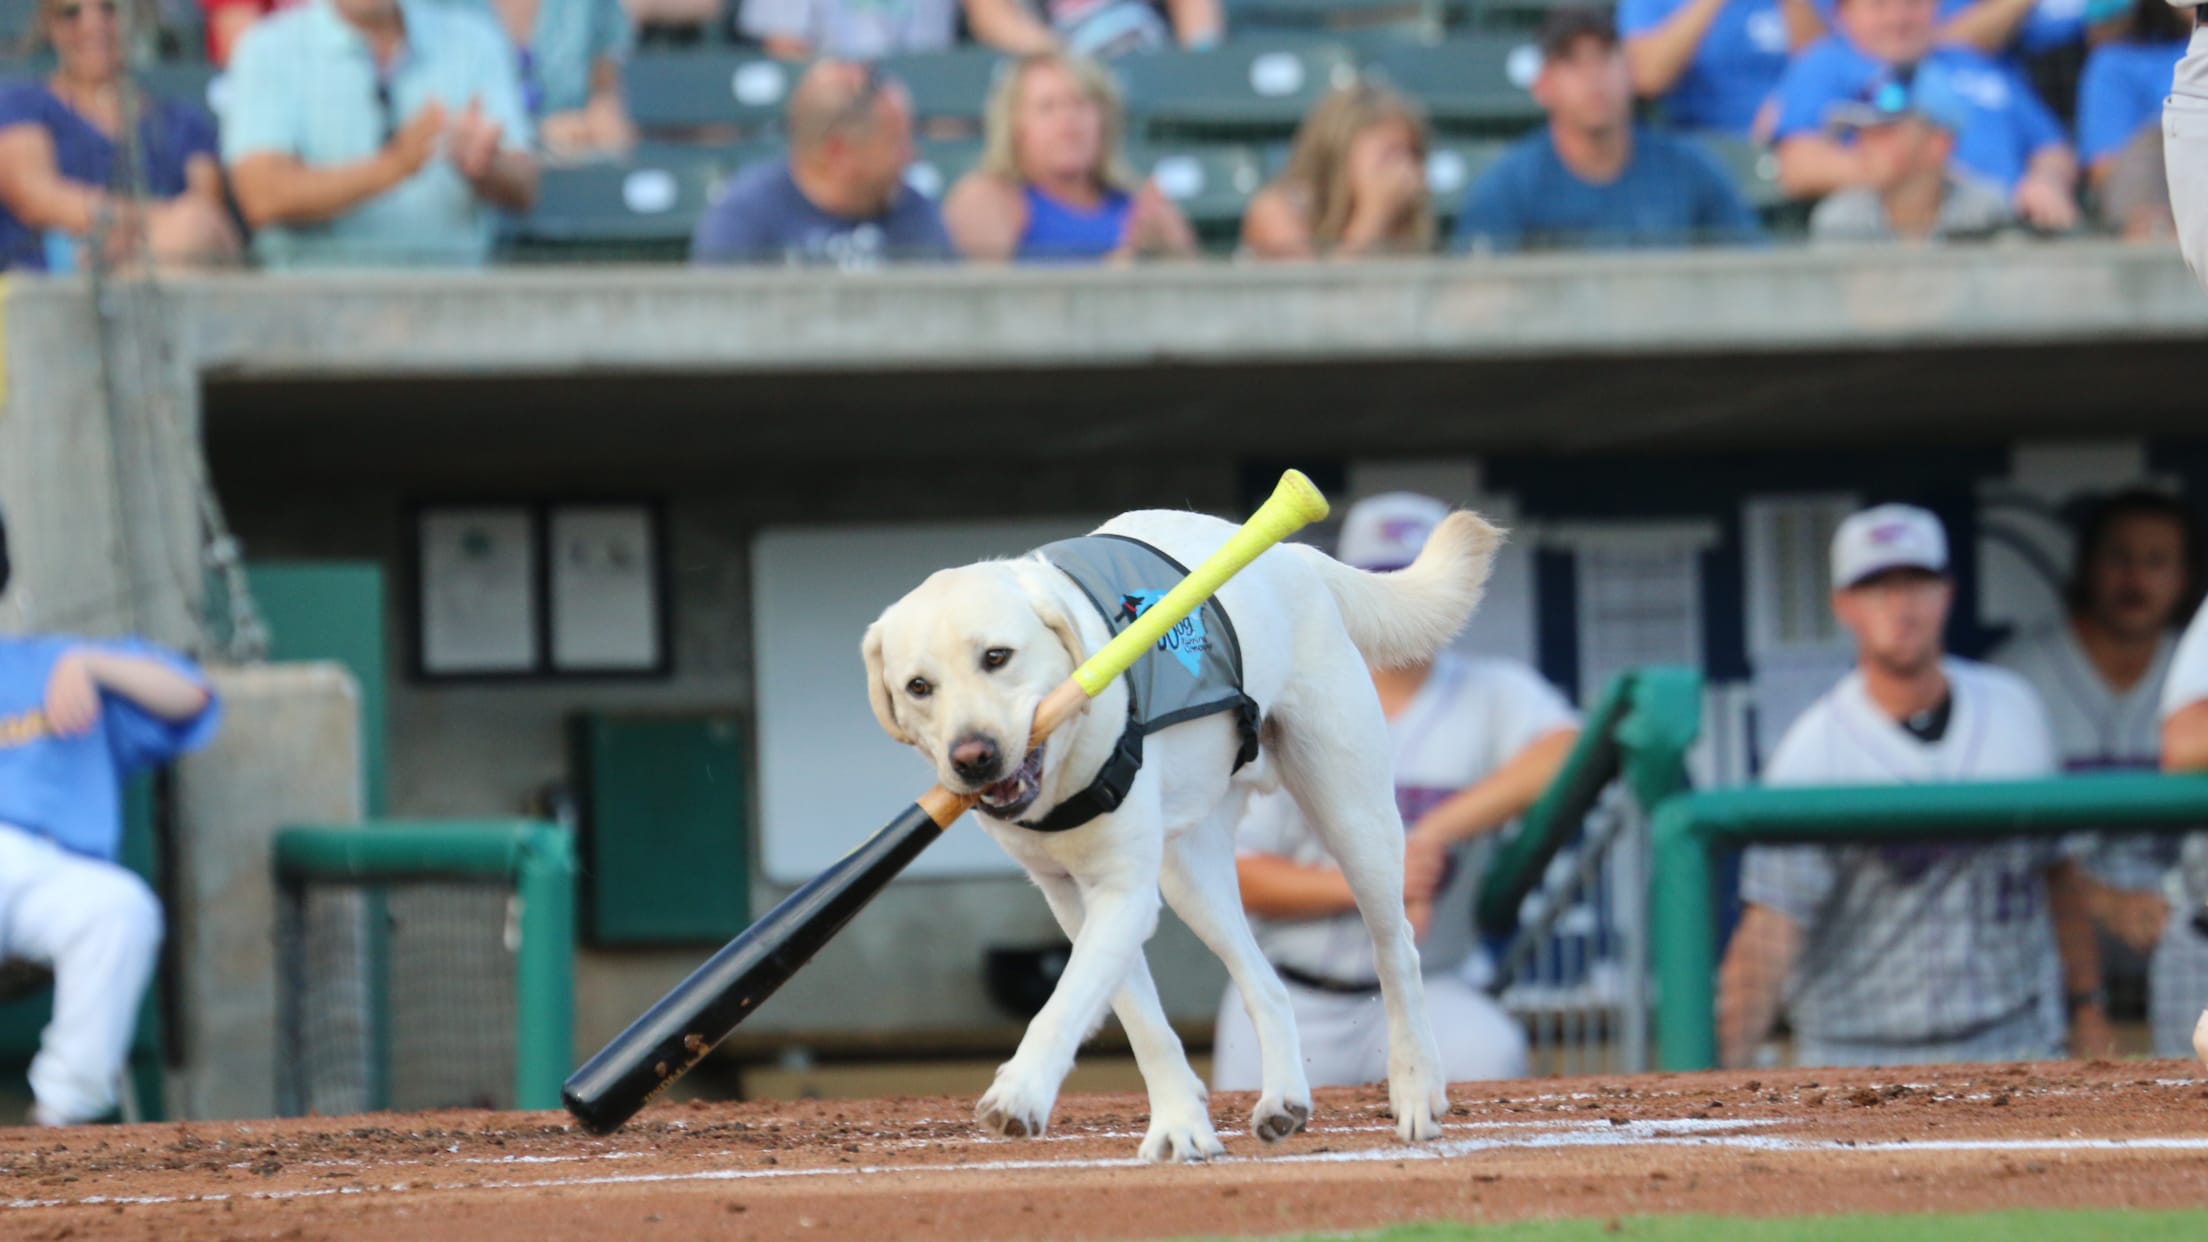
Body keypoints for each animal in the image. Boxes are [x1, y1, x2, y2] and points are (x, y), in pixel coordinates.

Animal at [861, 503, 1501, 1158]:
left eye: (997, 657)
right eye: (918, 687)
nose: (973, 758)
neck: (1064, 774)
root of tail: (1292, 555)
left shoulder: (1123, 892)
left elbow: (1066, 1001)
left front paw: (1020, 1092)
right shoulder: (1073, 897)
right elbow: (1140, 1019)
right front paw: (1180, 1123)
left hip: (1353, 814)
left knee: (1396, 948)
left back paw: (1416, 1087)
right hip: (1191, 874)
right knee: (1266, 982)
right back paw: (1283, 1099)